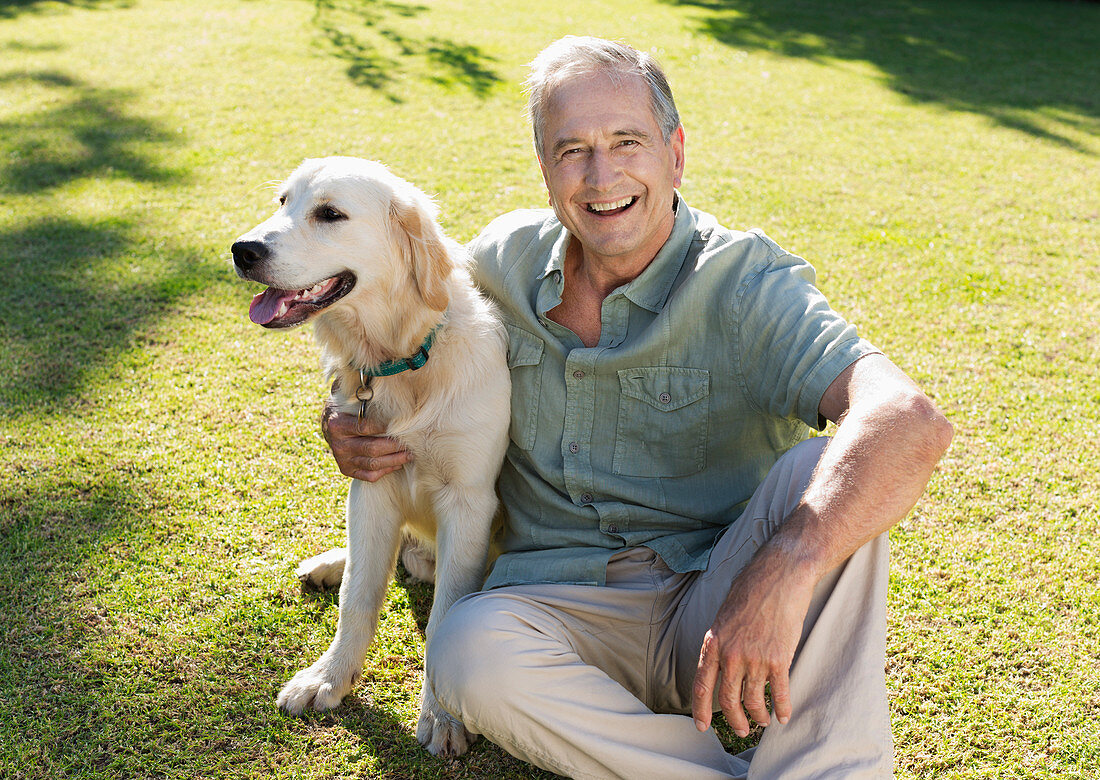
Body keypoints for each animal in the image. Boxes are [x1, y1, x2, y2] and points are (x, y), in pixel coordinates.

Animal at [231, 155, 510, 756]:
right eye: (282, 201)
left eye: (330, 214)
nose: (242, 250)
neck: (404, 360)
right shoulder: (371, 482)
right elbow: (358, 595)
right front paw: (329, 677)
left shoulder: (469, 500)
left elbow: (446, 614)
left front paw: (443, 715)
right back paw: (329, 563)